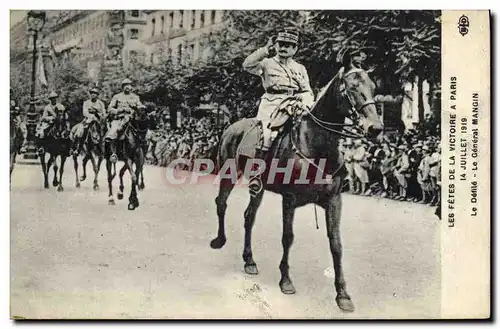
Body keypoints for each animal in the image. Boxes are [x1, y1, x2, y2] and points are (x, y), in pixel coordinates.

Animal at [211, 66, 382, 310]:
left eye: (373, 87)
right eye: (351, 88)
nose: (375, 128)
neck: (317, 146)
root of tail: (232, 127)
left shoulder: (334, 201)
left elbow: (336, 244)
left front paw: (342, 295)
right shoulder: (289, 199)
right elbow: (288, 237)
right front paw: (286, 281)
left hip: (258, 188)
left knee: (249, 216)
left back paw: (249, 260)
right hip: (229, 173)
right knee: (222, 203)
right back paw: (220, 240)